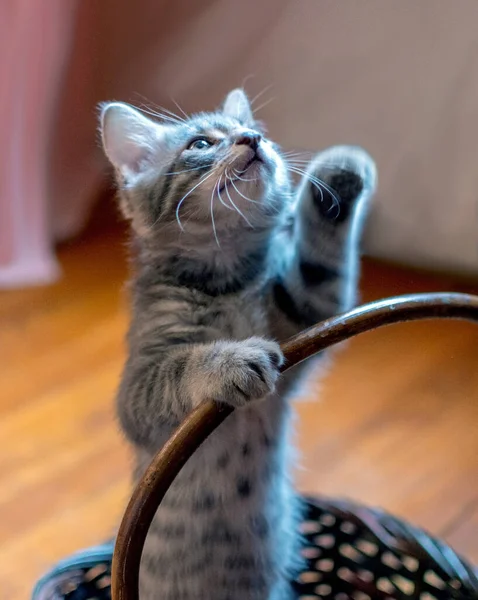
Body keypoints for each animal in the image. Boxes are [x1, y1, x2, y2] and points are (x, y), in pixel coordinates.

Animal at [101, 89, 378, 600]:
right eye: (200, 143)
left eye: (256, 131)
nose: (252, 139)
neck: (227, 281)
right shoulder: (137, 391)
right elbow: (178, 367)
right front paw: (229, 361)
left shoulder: (305, 316)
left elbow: (322, 271)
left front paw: (338, 172)